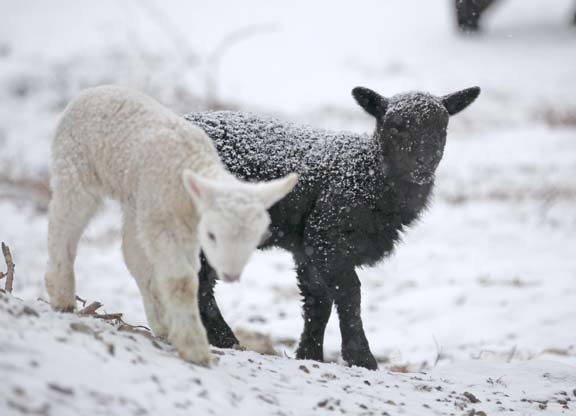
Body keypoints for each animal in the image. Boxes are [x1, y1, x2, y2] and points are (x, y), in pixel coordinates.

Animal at [45, 85, 296, 368]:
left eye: (255, 238)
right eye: (212, 235)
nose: (231, 275)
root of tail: (94, 90)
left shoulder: (184, 229)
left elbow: (189, 279)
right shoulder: (164, 221)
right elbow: (182, 281)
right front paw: (195, 347)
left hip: (137, 201)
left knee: (133, 254)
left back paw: (161, 321)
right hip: (76, 168)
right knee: (64, 223)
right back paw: (62, 295)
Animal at [186, 86, 482, 368]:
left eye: (442, 127)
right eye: (395, 126)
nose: (422, 164)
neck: (367, 174)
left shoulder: (307, 249)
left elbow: (317, 302)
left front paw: (310, 354)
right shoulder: (326, 236)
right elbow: (349, 292)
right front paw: (361, 357)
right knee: (201, 280)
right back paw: (224, 338)